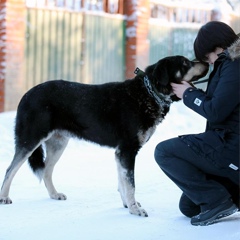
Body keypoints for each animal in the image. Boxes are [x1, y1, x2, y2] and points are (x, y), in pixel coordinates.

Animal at [0, 56, 207, 218]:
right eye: (185, 63)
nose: (206, 62)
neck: (149, 93)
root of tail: (26, 94)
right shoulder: (127, 150)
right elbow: (130, 184)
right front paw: (134, 210)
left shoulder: (121, 152)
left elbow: (123, 183)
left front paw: (128, 205)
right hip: (30, 140)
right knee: (10, 169)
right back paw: (4, 197)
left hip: (58, 144)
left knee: (46, 171)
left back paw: (54, 194)